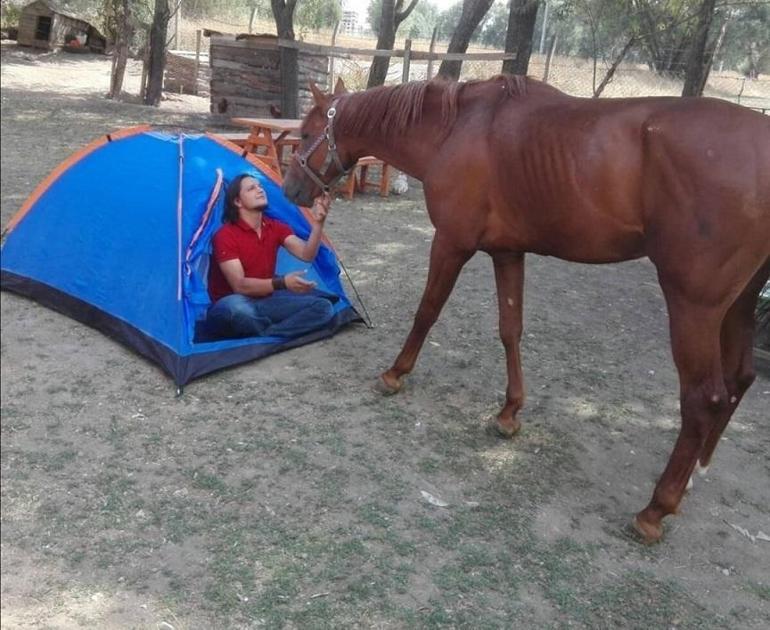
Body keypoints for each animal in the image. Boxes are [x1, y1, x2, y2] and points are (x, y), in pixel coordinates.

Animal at [282, 78, 768, 544]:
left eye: (305, 134)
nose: (291, 191)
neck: (456, 127)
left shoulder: (451, 243)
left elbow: (428, 311)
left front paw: (395, 373)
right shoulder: (507, 252)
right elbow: (510, 329)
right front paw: (509, 413)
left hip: (694, 304)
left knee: (704, 398)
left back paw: (655, 510)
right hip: (741, 302)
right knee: (741, 377)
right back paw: (695, 473)